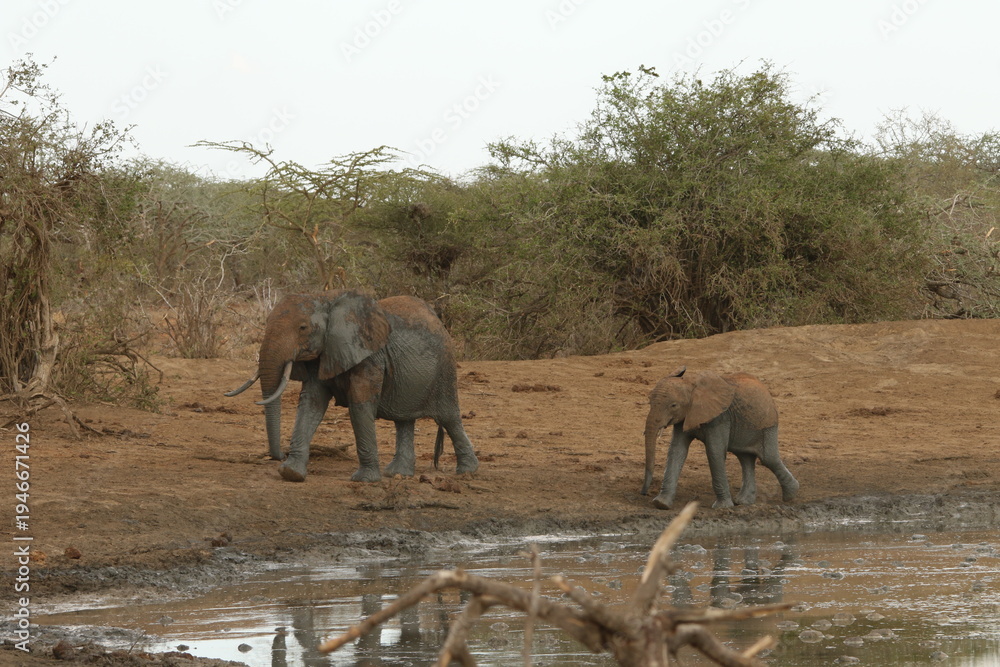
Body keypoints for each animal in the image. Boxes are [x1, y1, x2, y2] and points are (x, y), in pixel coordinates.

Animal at [225, 290, 479, 482]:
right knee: (404, 420)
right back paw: (397, 474)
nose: (279, 456)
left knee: (449, 418)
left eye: (303, 328)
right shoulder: (325, 354)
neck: (326, 298)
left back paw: (467, 472)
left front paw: (364, 480)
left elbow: (359, 407)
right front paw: (291, 473)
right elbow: (310, 405)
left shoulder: (369, 357)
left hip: (445, 369)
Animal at [642, 367, 798, 509]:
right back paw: (743, 502)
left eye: (673, 405)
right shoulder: (685, 417)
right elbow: (676, 451)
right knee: (745, 459)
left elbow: (714, 452)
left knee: (768, 458)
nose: (644, 493)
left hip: (768, 425)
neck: (691, 384)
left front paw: (722, 507)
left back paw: (792, 495)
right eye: (649, 402)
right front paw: (660, 504)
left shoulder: (719, 417)